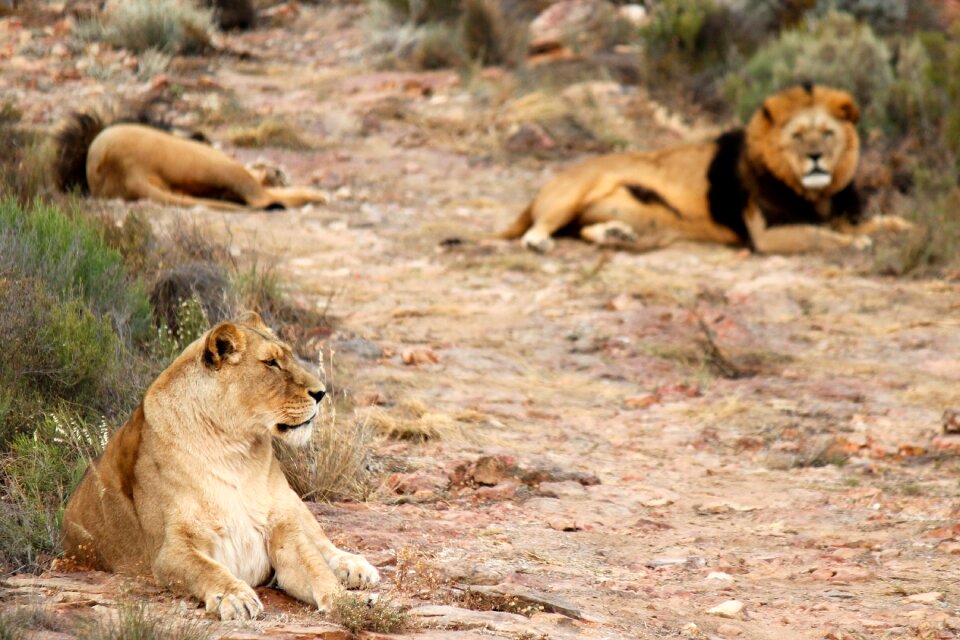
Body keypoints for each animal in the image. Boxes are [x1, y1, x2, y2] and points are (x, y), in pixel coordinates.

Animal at [61, 314, 378, 620]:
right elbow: (207, 569)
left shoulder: (285, 531)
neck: (235, 452)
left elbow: (316, 568)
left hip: (292, 502)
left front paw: (346, 602)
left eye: (288, 357)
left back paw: (356, 568)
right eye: (271, 363)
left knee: (321, 542)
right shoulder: (169, 551)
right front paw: (235, 597)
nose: (321, 393)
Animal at [502, 84, 916, 254]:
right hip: (570, 196)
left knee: (583, 231)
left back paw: (618, 234)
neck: (816, 193)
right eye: (798, 136)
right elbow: (822, 237)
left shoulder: (839, 216)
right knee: (542, 226)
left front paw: (906, 228)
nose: (816, 157)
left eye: (827, 133)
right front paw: (859, 243)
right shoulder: (765, 236)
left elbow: (881, 223)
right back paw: (540, 241)